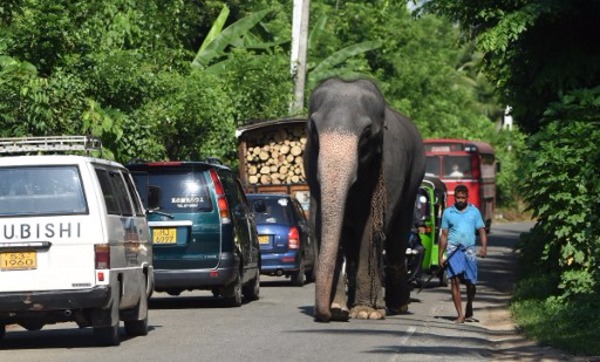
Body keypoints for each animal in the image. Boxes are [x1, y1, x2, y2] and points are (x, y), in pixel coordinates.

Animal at [304, 77, 426, 322]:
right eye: (313, 128)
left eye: (367, 132)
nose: (324, 314)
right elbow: (320, 224)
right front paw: (338, 309)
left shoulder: (390, 168)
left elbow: (373, 225)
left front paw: (366, 313)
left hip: (412, 183)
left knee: (397, 239)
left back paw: (398, 306)